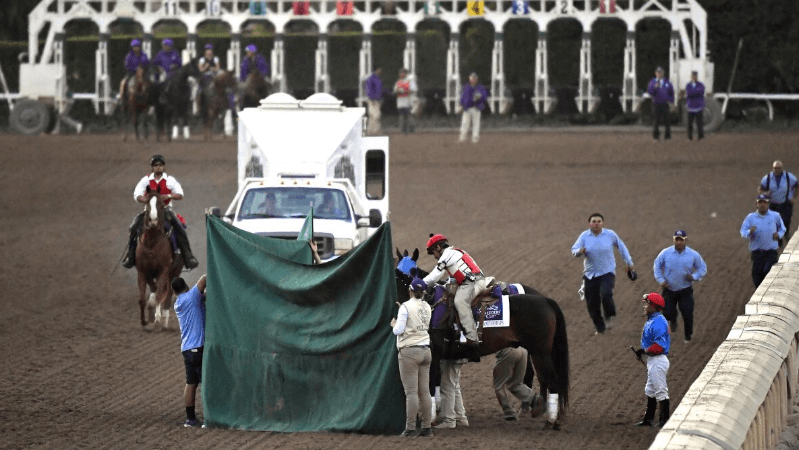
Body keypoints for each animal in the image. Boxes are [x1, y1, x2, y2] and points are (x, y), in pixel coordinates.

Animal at [135, 190, 185, 329]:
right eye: (147, 203)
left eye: (161, 204)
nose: (153, 219)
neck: (151, 243)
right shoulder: (142, 271)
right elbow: (144, 298)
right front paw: (144, 320)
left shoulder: (164, 270)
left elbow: (159, 294)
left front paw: (156, 318)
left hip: (175, 271)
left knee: (168, 295)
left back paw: (164, 319)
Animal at [394, 249, 569, 429]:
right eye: (396, 273)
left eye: (411, 272)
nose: (406, 297)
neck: (432, 305)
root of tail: (546, 300)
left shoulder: (433, 356)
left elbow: (430, 387)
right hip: (538, 352)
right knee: (544, 379)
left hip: (541, 352)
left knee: (552, 381)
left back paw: (550, 420)